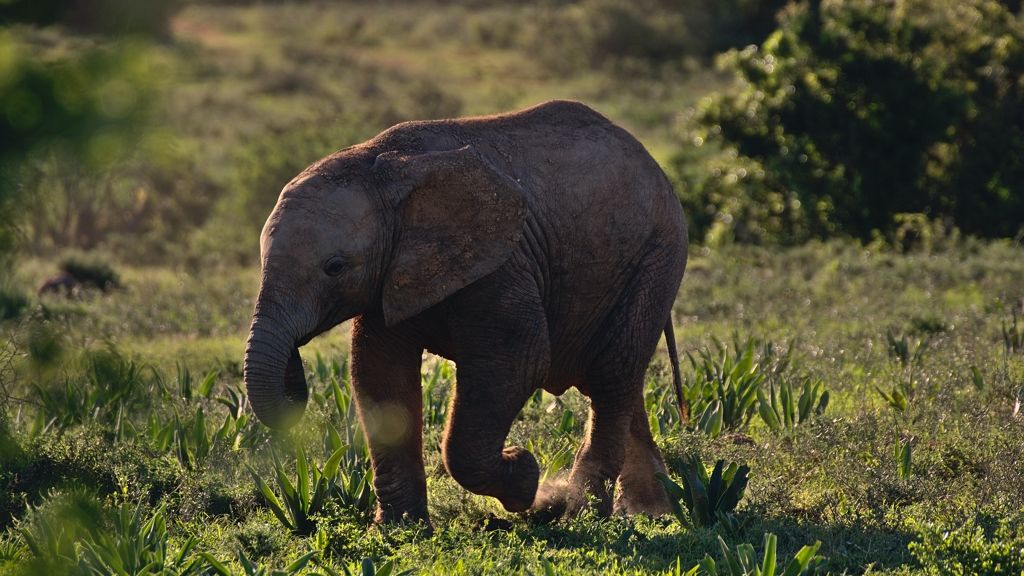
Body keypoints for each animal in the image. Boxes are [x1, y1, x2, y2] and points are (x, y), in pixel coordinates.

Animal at [243, 98, 688, 524]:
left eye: (334, 267)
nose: (294, 368)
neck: (383, 166)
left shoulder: (502, 262)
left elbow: (518, 362)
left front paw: (525, 478)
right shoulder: (394, 271)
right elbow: (378, 372)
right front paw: (398, 531)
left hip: (657, 256)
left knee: (613, 372)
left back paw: (582, 515)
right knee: (615, 382)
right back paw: (650, 512)